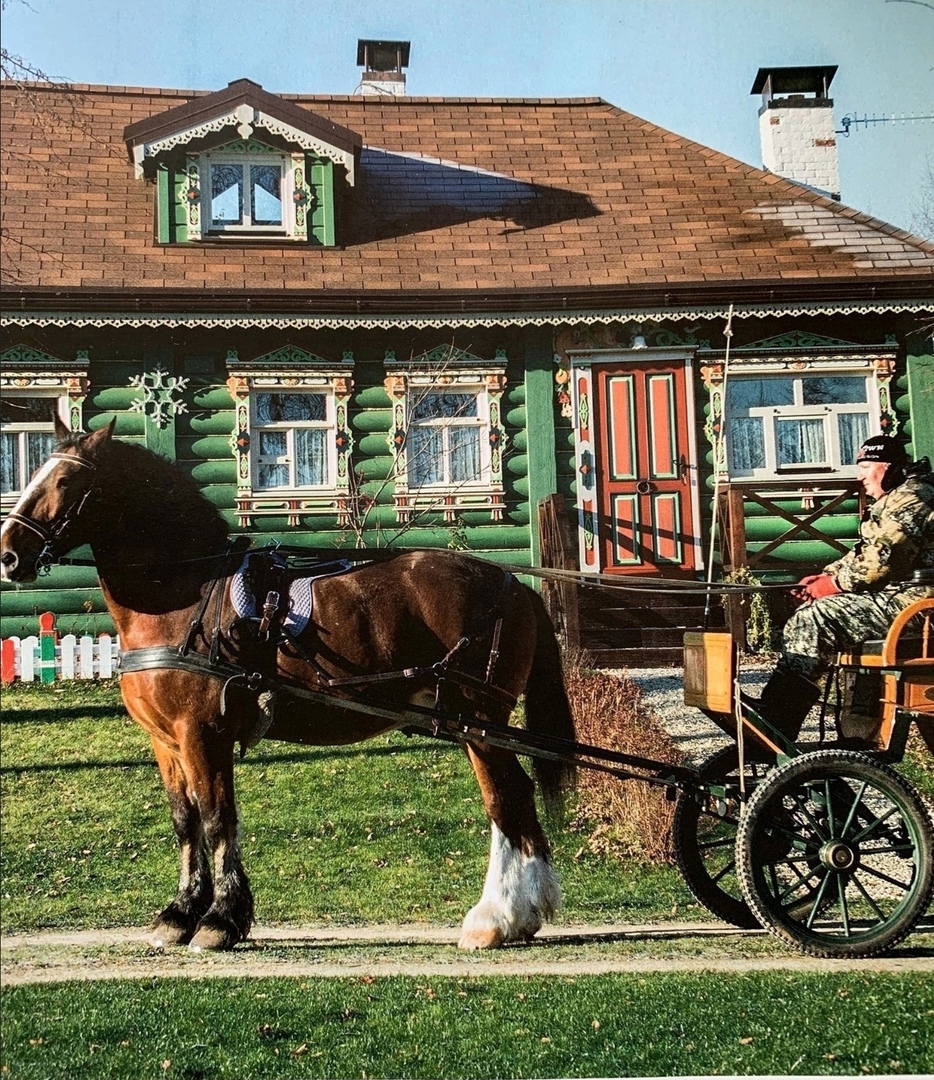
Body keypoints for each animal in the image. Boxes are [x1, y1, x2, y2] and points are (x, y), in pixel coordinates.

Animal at [1, 416, 574, 950]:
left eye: (66, 482)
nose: (9, 554)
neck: (186, 599)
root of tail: (513, 584)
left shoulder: (202, 734)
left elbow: (217, 818)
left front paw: (221, 920)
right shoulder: (167, 741)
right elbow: (186, 821)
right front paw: (181, 914)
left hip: (479, 721)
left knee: (506, 800)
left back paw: (497, 919)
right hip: (474, 726)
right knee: (512, 800)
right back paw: (520, 914)